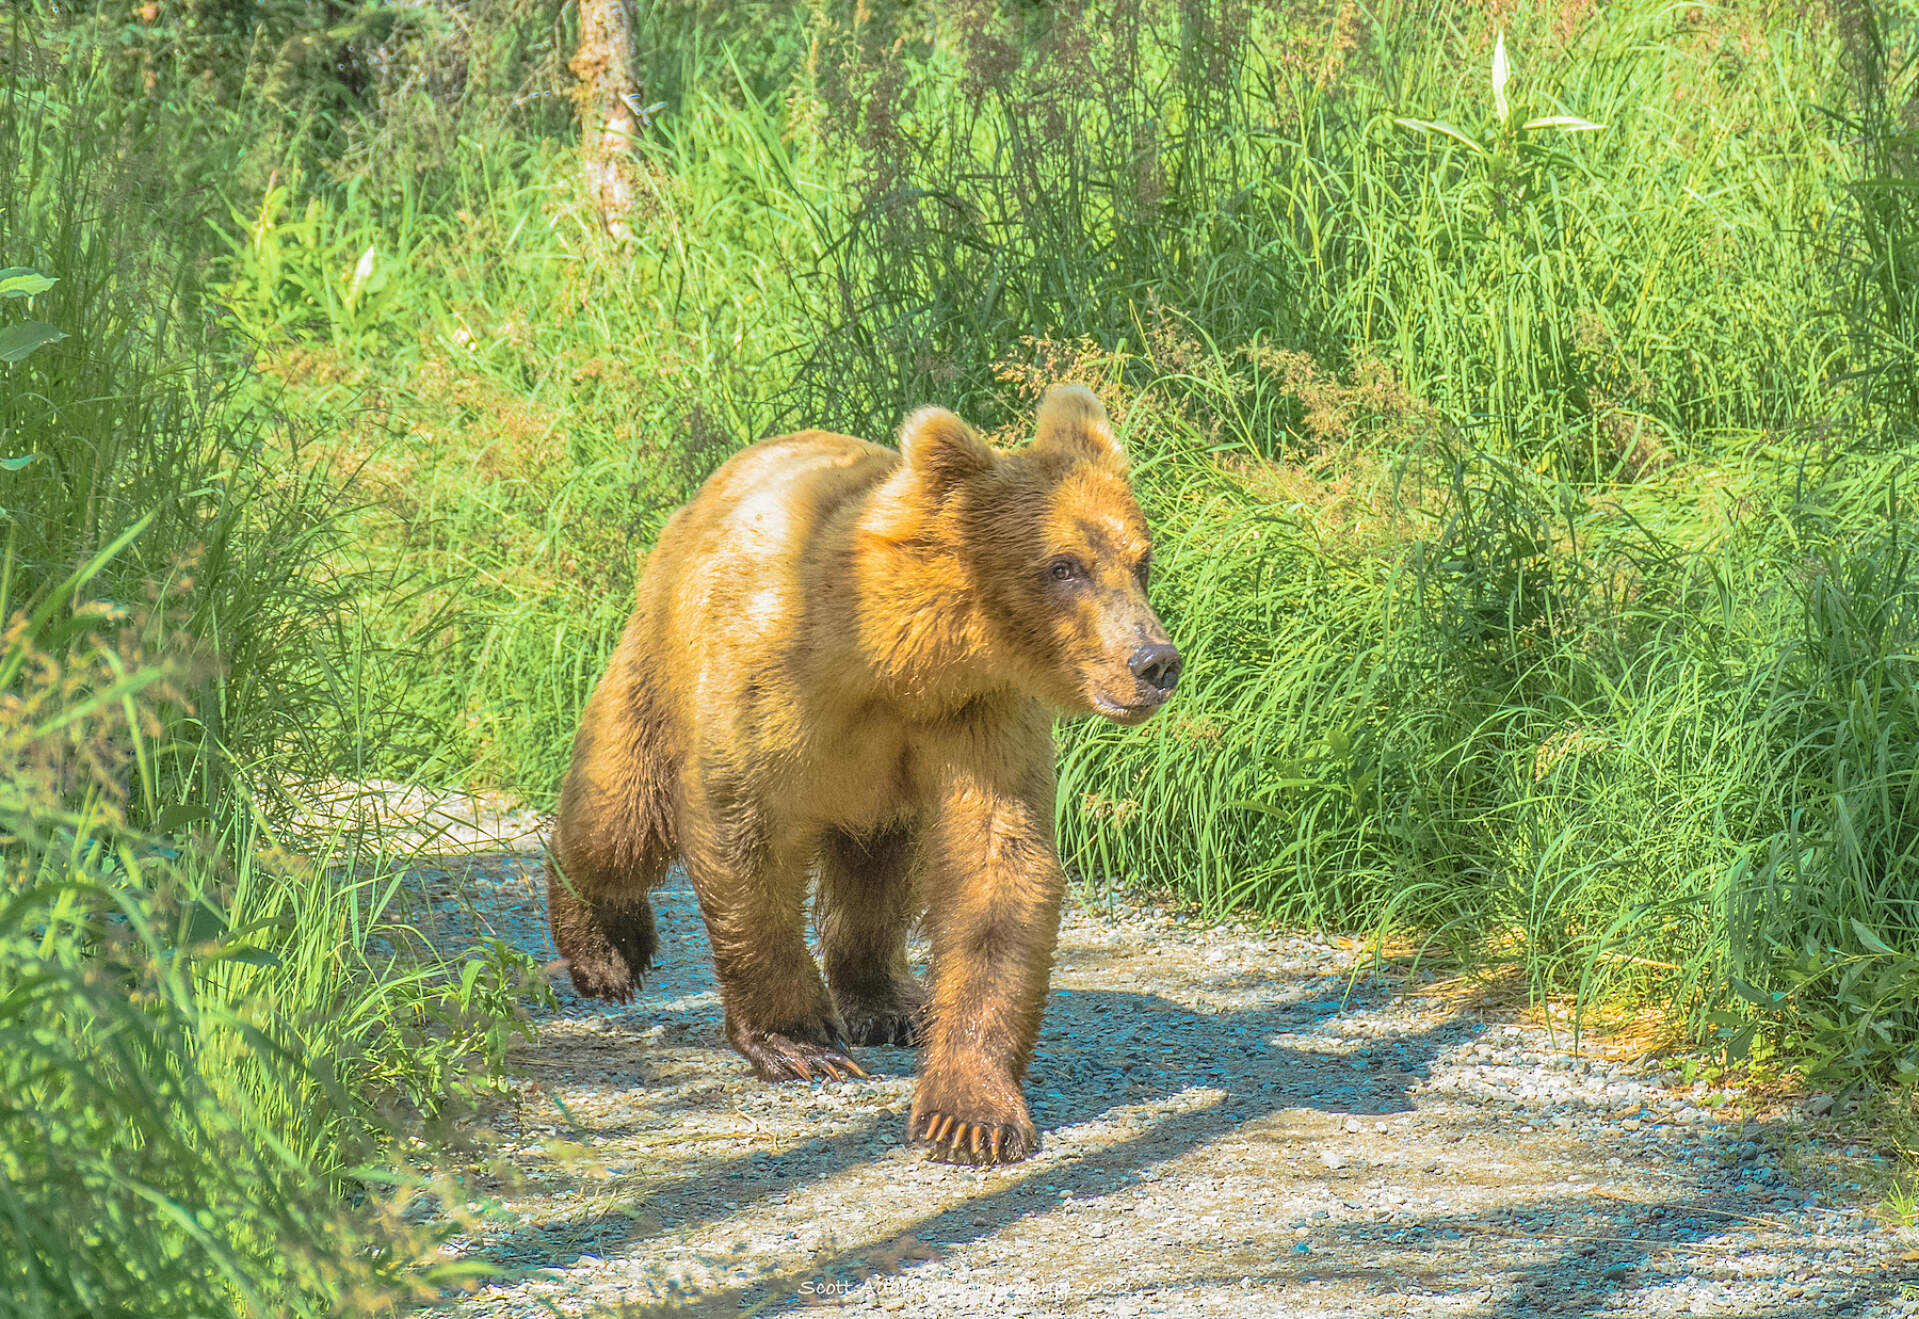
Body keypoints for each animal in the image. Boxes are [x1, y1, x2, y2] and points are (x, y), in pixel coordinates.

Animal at [544, 382, 1182, 1167]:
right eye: (1064, 565)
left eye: (1140, 559)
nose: (1154, 662)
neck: (893, 656)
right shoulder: (772, 682)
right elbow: (742, 835)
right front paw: (799, 1042)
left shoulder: (977, 717)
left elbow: (996, 868)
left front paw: (968, 1114)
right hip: (663, 650)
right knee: (618, 813)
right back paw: (605, 953)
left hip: (879, 792)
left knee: (878, 871)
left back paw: (890, 1002)